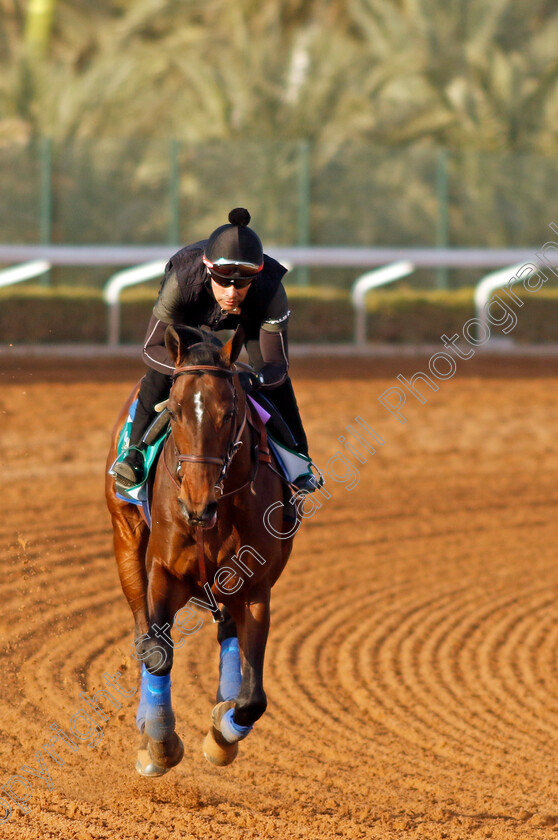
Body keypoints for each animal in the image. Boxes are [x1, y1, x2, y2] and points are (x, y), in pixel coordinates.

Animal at [103, 322, 300, 776]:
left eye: (229, 413)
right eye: (174, 412)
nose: (196, 503)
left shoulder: (255, 588)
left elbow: (253, 700)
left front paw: (221, 734)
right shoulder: (164, 573)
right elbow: (158, 654)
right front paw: (159, 744)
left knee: (227, 634)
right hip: (125, 534)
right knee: (142, 636)